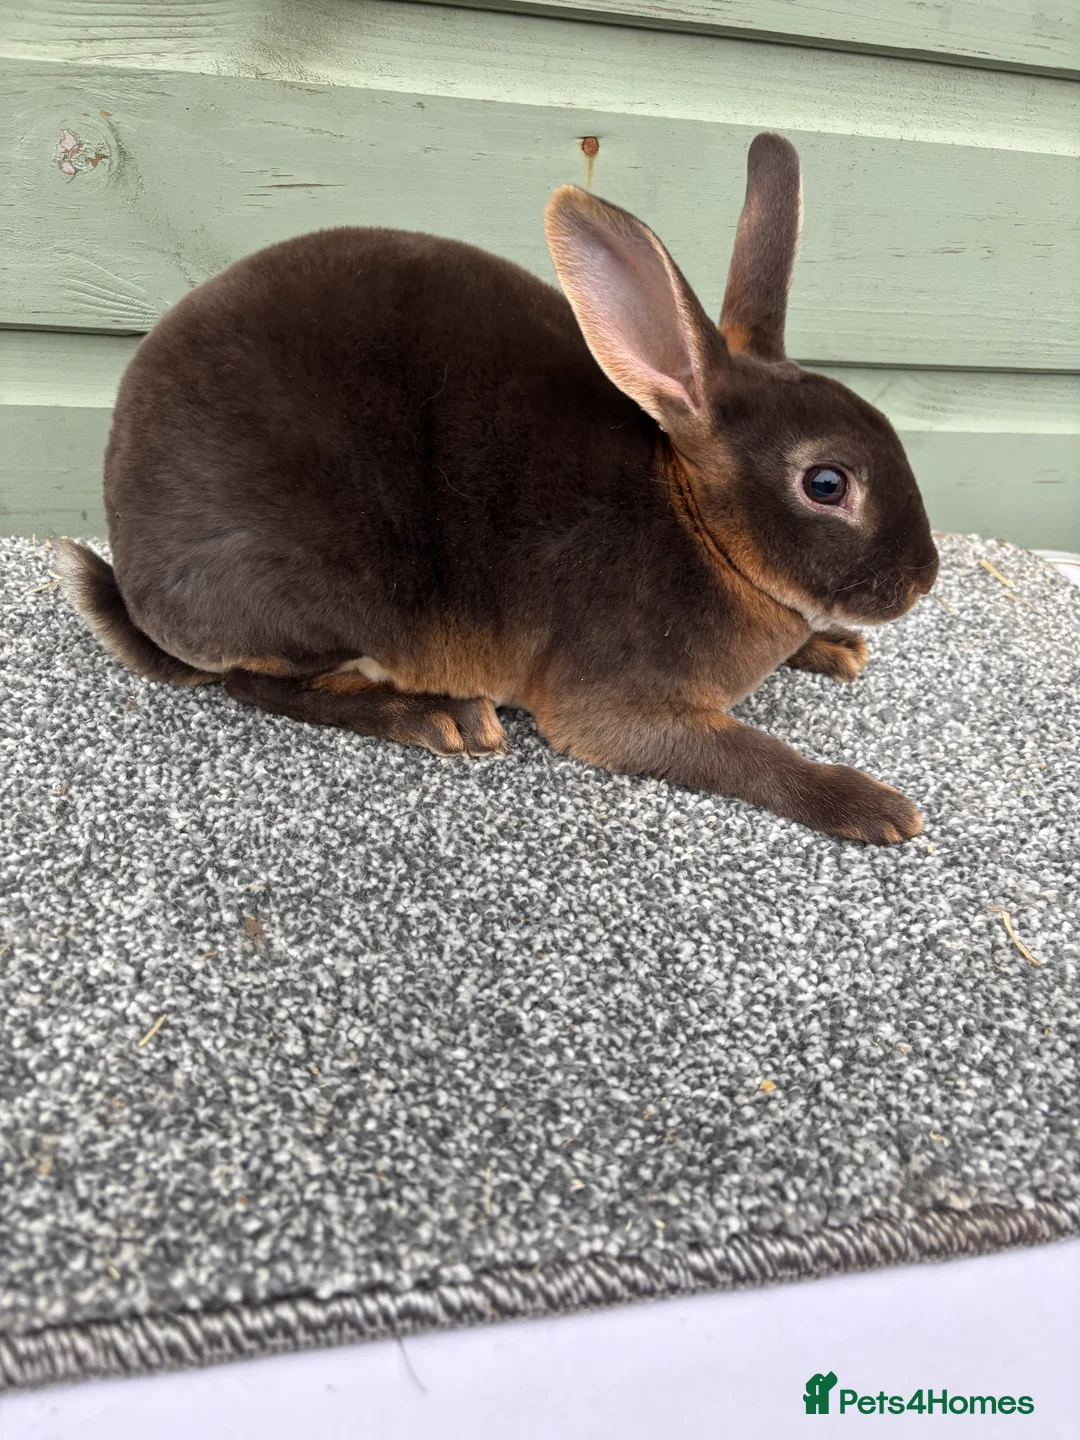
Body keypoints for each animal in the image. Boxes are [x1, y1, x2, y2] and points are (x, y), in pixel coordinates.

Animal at [54, 131, 938, 843]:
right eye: (826, 483)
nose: (923, 580)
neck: (700, 527)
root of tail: (136, 584)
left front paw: (836, 648)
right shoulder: (617, 709)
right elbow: (747, 754)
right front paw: (873, 807)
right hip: (305, 592)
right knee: (258, 685)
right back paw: (442, 716)